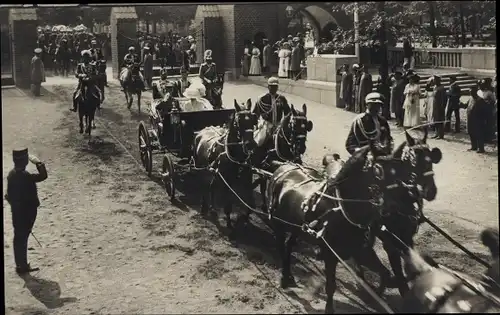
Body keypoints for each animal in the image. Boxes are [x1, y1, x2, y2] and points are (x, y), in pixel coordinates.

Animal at [193, 99, 258, 227]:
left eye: (253, 120)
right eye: (238, 122)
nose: (250, 144)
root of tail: (201, 131)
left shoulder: (246, 181)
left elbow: (250, 204)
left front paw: (244, 217)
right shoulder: (227, 182)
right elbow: (228, 205)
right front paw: (229, 222)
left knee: (211, 186)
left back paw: (212, 208)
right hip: (200, 167)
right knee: (202, 185)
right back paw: (204, 207)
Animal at [266, 145, 410, 314]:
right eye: (379, 172)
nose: (395, 208)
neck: (341, 209)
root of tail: (283, 168)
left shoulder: (360, 250)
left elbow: (385, 273)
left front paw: (376, 297)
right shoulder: (330, 254)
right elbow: (331, 286)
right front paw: (329, 308)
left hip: (297, 228)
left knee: (288, 246)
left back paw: (289, 277)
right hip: (278, 225)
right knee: (282, 248)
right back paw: (284, 278)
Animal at [354, 127, 444, 298]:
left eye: (431, 160)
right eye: (413, 160)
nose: (431, 191)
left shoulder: (407, 239)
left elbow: (412, 268)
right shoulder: (390, 242)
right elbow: (400, 275)